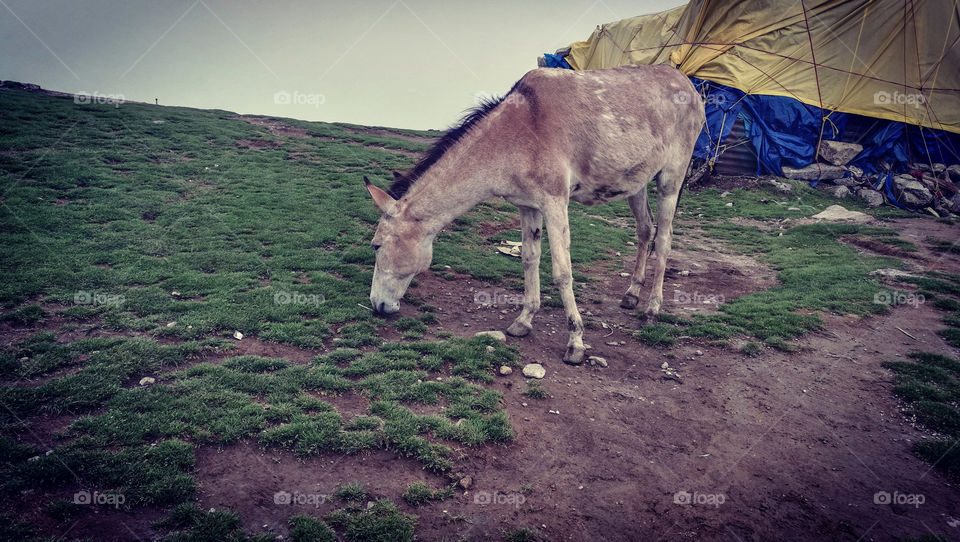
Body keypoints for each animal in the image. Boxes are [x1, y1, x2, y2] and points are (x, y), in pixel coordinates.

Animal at [366, 66, 704, 368]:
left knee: (663, 239)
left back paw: (652, 309)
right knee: (645, 230)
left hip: (670, 178)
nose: (377, 306)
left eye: (376, 246)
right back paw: (632, 295)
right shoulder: (527, 206)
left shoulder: (555, 204)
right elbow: (529, 259)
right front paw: (524, 321)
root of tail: (686, 84)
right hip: (637, 182)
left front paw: (575, 343)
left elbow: (562, 272)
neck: (516, 133)